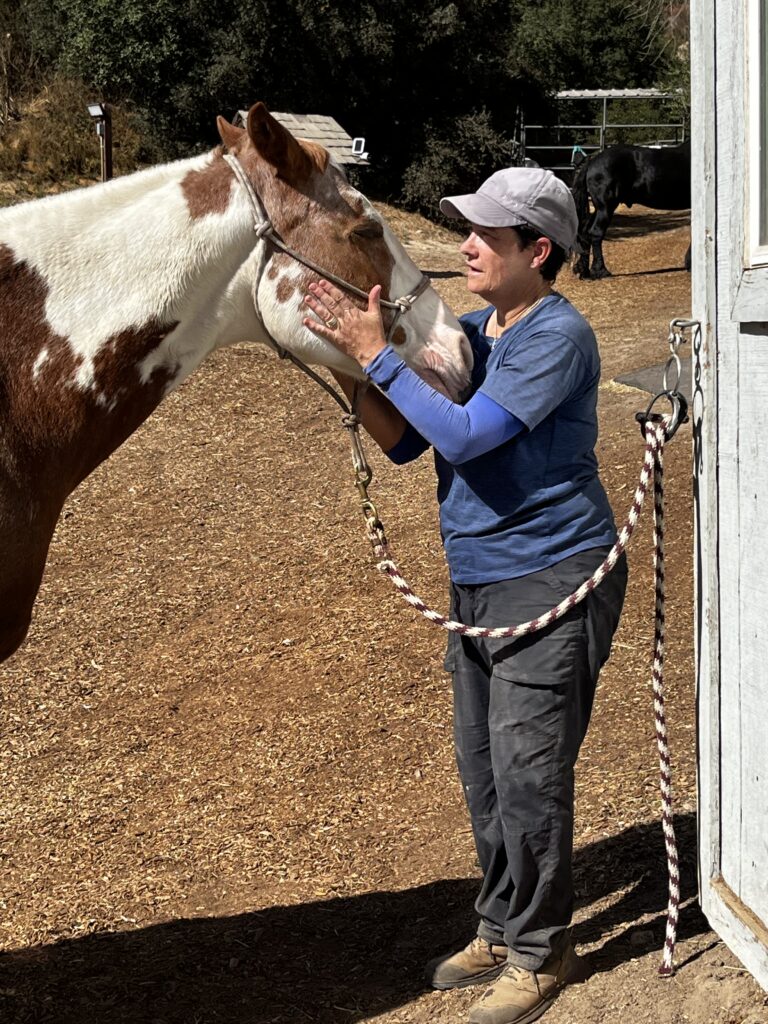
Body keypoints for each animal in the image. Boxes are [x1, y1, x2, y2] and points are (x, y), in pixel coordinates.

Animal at [573, 140, 696, 278]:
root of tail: (592, 161)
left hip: (599, 209)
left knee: (585, 232)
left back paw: (584, 271)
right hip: (605, 207)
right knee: (596, 232)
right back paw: (600, 270)